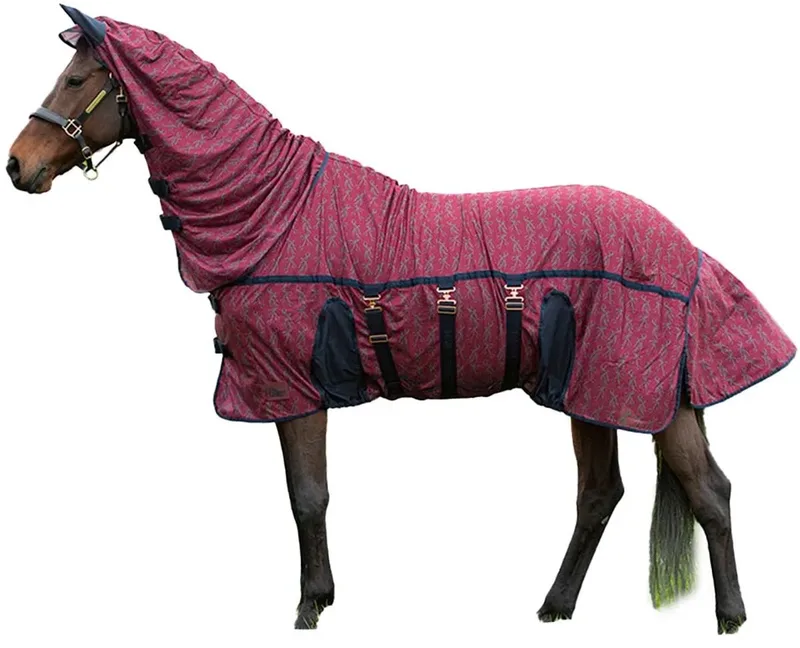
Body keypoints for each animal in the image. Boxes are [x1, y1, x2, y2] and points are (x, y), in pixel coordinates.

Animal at [6, 6, 795, 634]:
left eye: (76, 79)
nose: (18, 165)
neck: (275, 211)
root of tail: (684, 248)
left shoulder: (295, 389)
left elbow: (308, 498)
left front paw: (310, 607)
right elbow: (308, 497)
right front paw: (318, 599)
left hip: (641, 395)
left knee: (710, 495)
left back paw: (730, 618)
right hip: (590, 395)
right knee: (601, 495)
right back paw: (554, 607)